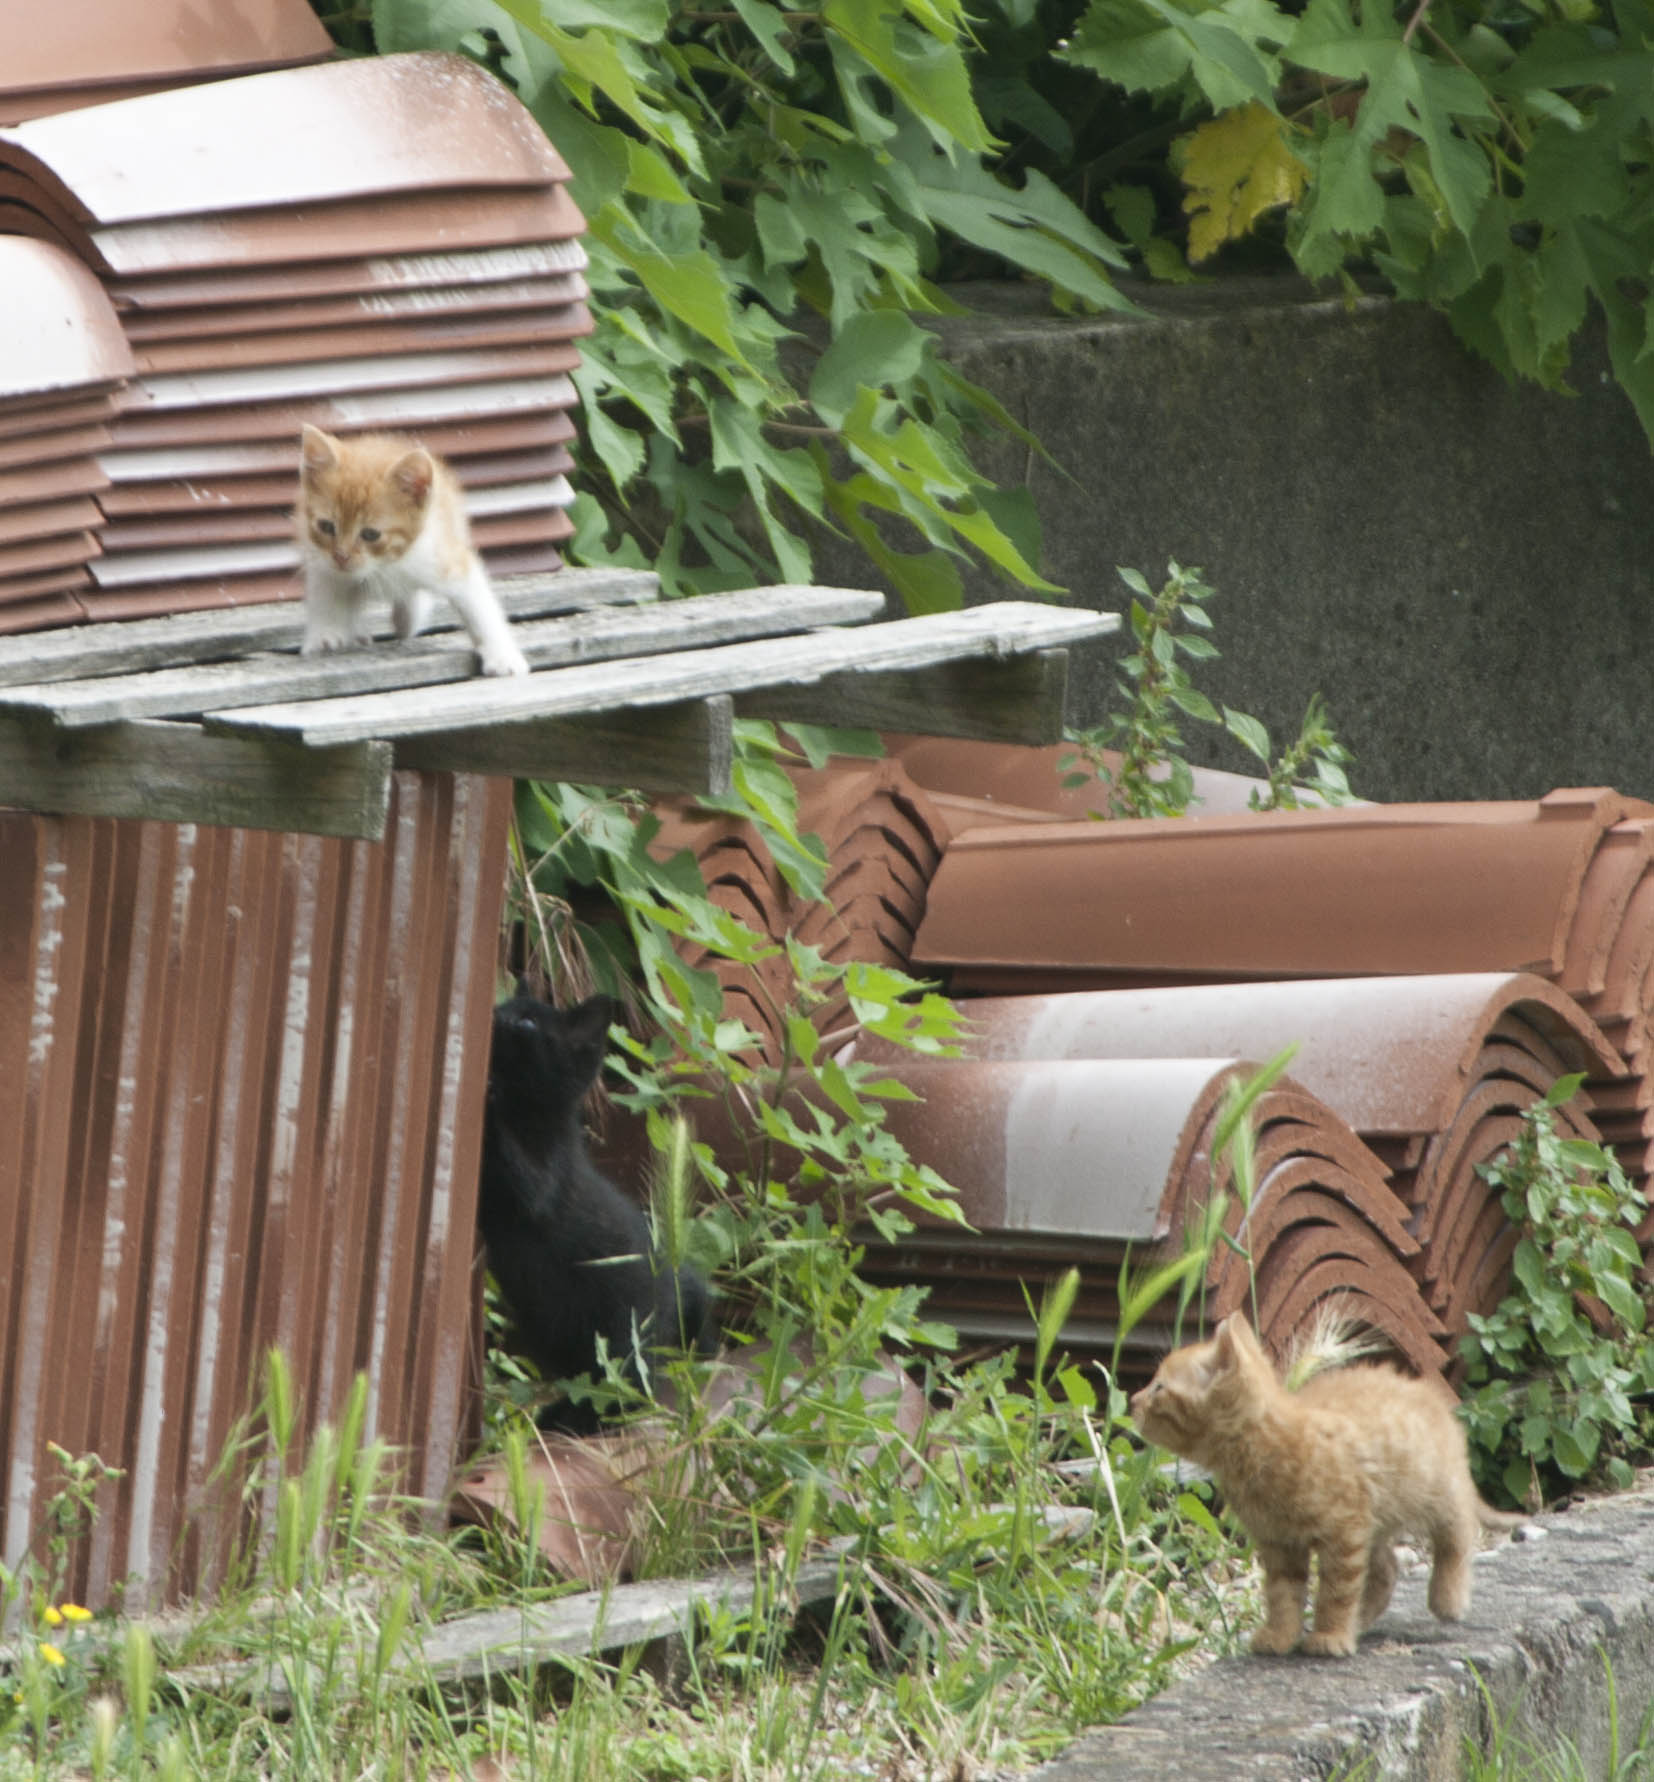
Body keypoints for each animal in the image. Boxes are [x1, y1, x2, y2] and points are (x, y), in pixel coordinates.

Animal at [294, 424, 531, 680]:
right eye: (326, 526)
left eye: (370, 534)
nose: (341, 556)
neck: (384, 565)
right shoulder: (322, 562)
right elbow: (326, 595)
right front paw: (323, 636)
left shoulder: (444, 558)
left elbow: (480, 609)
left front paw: (503, 657)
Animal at [474, 983, 712, 1425]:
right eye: (504, 1007)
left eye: (527, 1022)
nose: (494, 1016)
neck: (531, 1115)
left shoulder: (544, 1182)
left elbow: (520, 1178)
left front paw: (490, 1095)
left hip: (621, 1325)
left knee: (632, 1385)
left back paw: (570, 1418)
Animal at [1133, 1311, 1518, 1653]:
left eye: (1159, 1388)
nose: (1134, 1401)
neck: (1264, 1448)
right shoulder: (1280, 1543)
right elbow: (1282, 1594)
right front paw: (1281, 1635)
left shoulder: (1343, 1534)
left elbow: (1336, 1591)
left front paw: (1330, 1635)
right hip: (1375, 1518)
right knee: (1387, 1569)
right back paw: (1361, 1620)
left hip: (1436, 1489)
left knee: (1458, 1532)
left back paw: (1447, 1597)